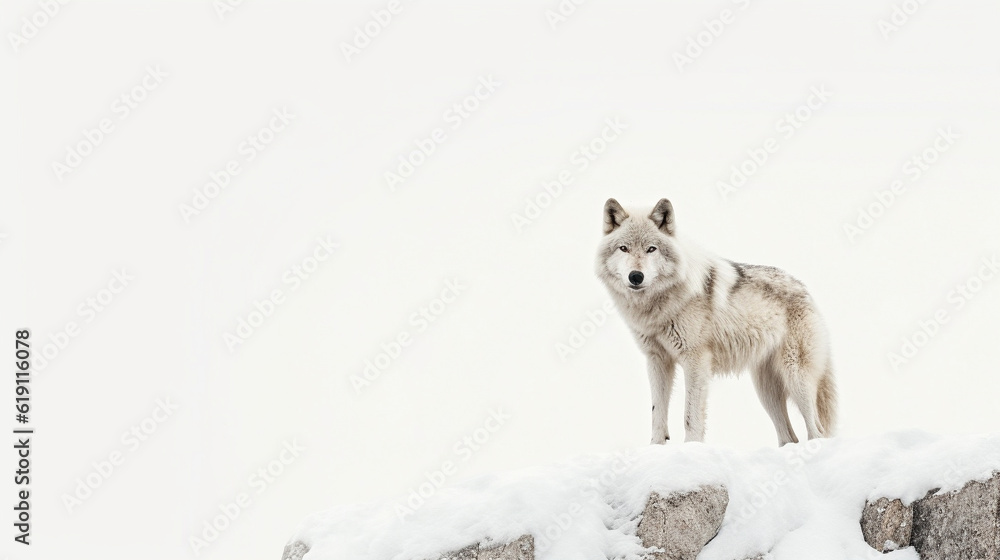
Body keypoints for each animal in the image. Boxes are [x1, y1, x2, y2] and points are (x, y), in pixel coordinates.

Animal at [596, 198, 837, 446]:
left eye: (651, 249)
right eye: (623, 248)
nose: (636, 276)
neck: (659, 308)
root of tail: (804, 289)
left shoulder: (696, 361)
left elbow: (690, 415)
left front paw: (691, 448)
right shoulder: (657, 360)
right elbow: (657, 412)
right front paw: (656, 447)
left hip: (796, 377)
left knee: (816, 430)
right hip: (766, 392)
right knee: (790, 437)